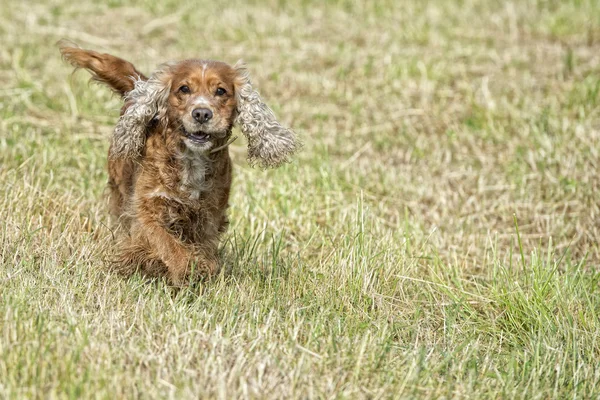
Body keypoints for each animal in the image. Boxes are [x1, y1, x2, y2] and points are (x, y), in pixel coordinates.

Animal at [58, 42, 298, 286]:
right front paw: (186, 270)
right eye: (184, 89)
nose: (201, 113)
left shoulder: (208, 217)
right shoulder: (146, 209)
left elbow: (201, 248)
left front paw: (203, 269)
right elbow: (167, 244)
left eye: (221, 91)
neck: (191, 159)